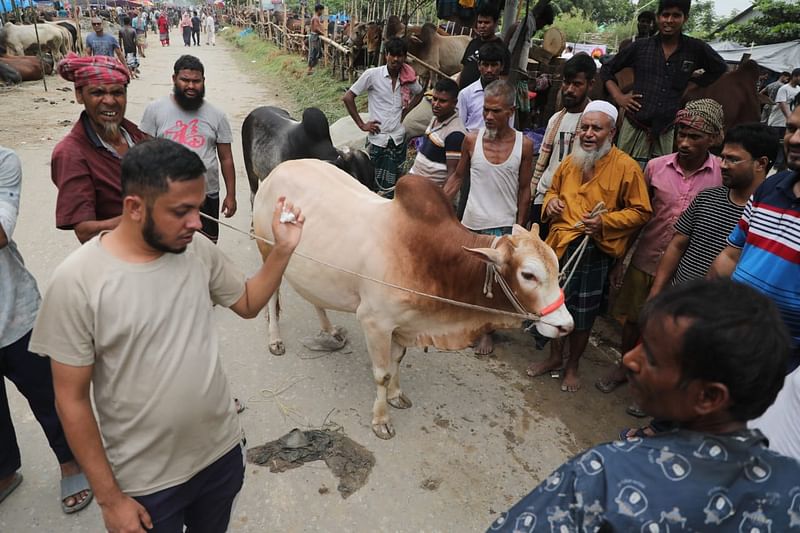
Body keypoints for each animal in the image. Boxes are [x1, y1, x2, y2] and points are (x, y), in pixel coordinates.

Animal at [253, 160, 572, 438]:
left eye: (557, 267)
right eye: (528, 275)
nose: (566, 326)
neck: (431, 259)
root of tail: (276, 171)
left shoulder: (404, 325)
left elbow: (397, 361)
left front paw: (396, 395)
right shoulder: (375, 323)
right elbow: (382, 373)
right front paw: (381, 420)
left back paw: (329, 330)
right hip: (269, 251)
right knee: (271, 296)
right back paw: (274, 339)